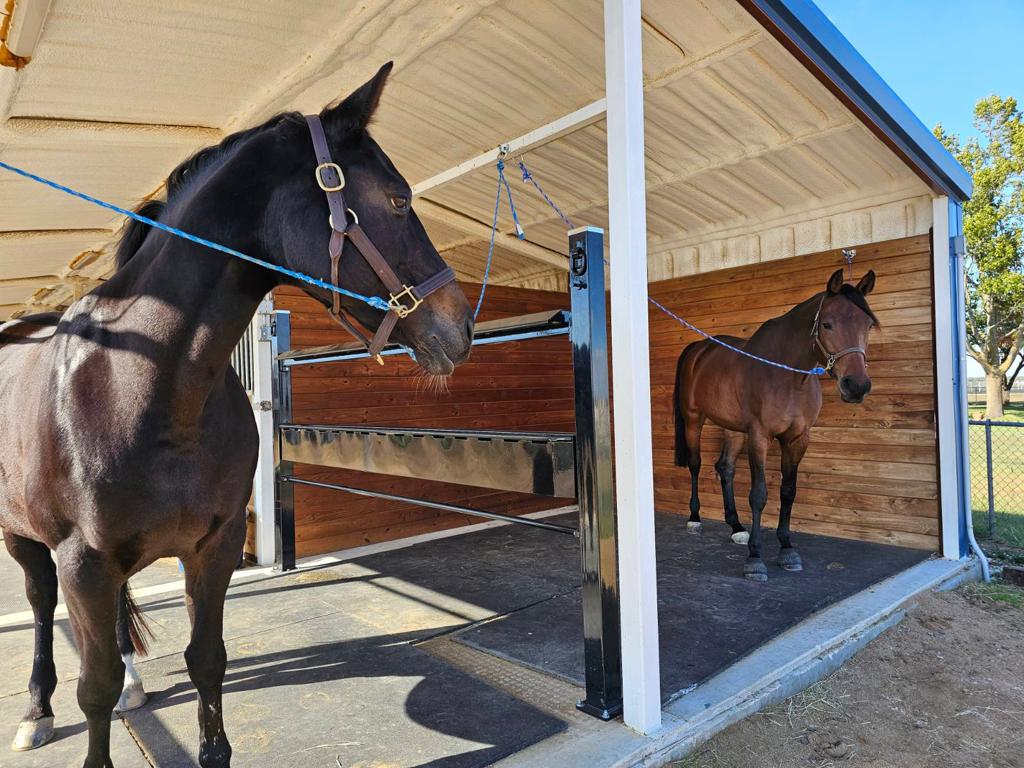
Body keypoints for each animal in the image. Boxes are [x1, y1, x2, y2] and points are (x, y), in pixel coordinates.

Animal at [0, 62, 473, 768]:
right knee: (39, 608)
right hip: (25, 541)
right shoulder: (82, 561)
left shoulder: (213, 548)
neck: (143, 388)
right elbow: (93, 684)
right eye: (396, 199)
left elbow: (206, 661)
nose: (461, 328)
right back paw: (35, 711)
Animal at [673, 268, 877, 582]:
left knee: (725, 468)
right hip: (694, 420)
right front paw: (755, 559)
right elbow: (759, 495)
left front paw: (787, 549)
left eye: (868, 325)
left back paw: (736, 527)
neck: (787, 376)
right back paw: (695, 519)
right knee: (696, 465)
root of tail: (699, 349)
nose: (856, 386)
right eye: (827, 324)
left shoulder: (798, 439)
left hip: (734, 429)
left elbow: (788, 491)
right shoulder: (760, 436)